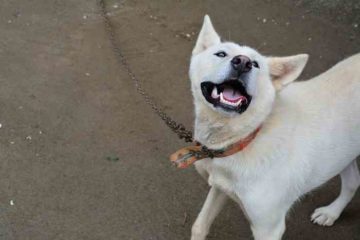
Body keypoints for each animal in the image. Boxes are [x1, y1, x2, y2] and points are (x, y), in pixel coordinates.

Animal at [188, 15, 360, 240]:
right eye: (221, 53)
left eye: (255, 64)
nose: (242, 63)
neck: (248, 137)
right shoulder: (220, 187)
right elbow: (199, 226)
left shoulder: (269, 228)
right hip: (344, 153)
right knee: (353, 181)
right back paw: (330, 213)